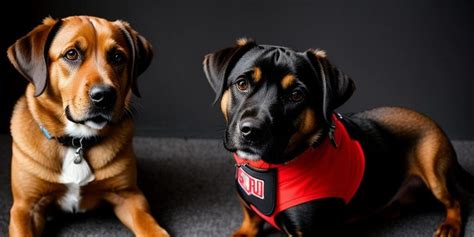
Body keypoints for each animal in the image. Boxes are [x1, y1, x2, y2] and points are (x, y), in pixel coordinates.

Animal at [7, 15, 168, 236]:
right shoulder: (25, 208)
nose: (105, 95)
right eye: (71, 54)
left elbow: (151, 227)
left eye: (117, 57)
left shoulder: (131, 197)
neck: (78, 141)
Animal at [202, 38, 472, 236]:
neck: (271, 168)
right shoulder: (248, 206)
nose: (252, 130)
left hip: (435, 171)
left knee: (457, 200)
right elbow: (251, 220)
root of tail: (428, 119)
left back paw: (450, 225)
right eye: (242, 83)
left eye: (296, 95)